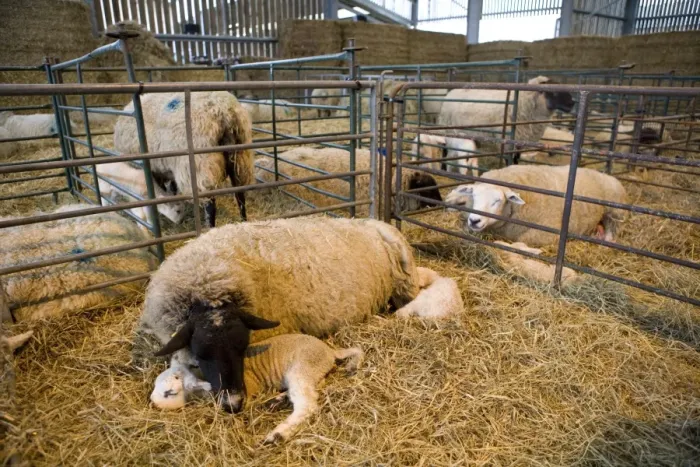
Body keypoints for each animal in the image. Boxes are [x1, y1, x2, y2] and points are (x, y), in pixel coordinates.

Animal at [113, 91, 255, 227]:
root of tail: (224, 110)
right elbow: (173, 186)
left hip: (201, 165)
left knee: (210, 204)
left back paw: (210, 227)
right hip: (240, 160)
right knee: (240, 195)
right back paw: (243, 221)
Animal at [151, 333, 363, 444]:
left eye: (170, 390)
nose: (153, 399)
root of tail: (330, 351)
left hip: (301, 368)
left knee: (307, 403)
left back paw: (278, 434)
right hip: (312, 374)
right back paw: (276, 401)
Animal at [438, 76, 575, 168]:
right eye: (554, 92)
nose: (572, 103)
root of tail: (450, 93)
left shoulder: (520, 140)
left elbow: (517, 158)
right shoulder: (508, 140)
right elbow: (508, 159)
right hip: (448, 129)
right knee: (444, 149)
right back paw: (443, 167)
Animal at [444, 165, 627, 247]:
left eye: (497, 200)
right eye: (474, 196)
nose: (474, 220)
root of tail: (605, 174)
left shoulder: (545, 234)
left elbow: (523, 241)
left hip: (615, 212)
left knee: (613, 229)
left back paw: (605, 239)